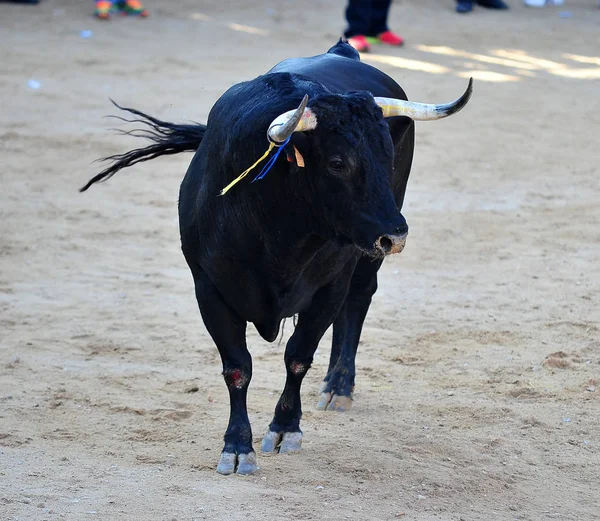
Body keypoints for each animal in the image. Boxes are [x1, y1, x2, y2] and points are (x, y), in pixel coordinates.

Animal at [81, 39, 474, 472]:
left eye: (388, 157)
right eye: (338, 162)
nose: (395, 235)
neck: (275, 223)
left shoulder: (328, 285)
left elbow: (298, 356)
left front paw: (285, 428)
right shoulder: (209, 289)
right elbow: (238, 367)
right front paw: (237, 446)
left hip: (364, 256)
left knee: (357, 300)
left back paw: (339, 386)